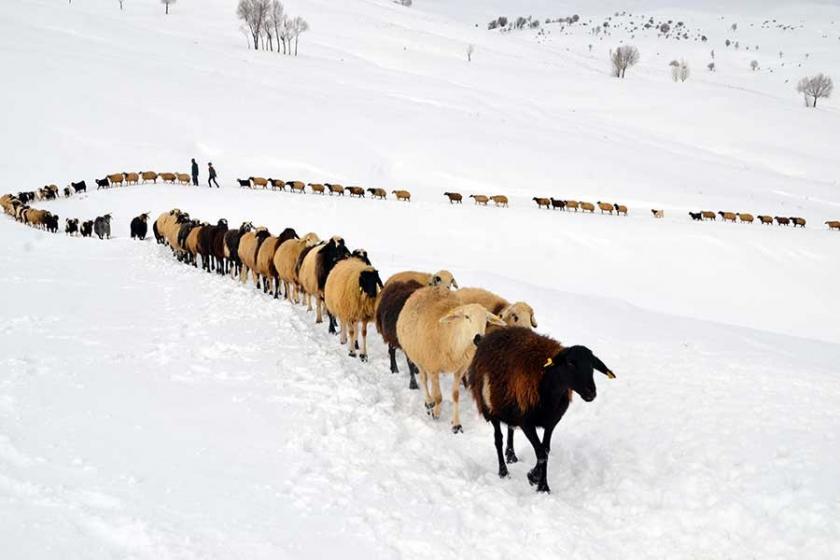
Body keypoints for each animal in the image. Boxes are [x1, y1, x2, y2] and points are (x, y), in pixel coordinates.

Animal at [398, 286, 508, 430]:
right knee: (423, 379)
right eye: (466, 317)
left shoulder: (460, 369)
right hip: (418, 357)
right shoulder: (433, 367)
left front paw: (456, 424)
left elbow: (455, 396)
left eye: (486, 319)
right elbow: (438, 396)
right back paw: (429, 402)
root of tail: (424, 289)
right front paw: (436, 413)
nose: (479, 338)